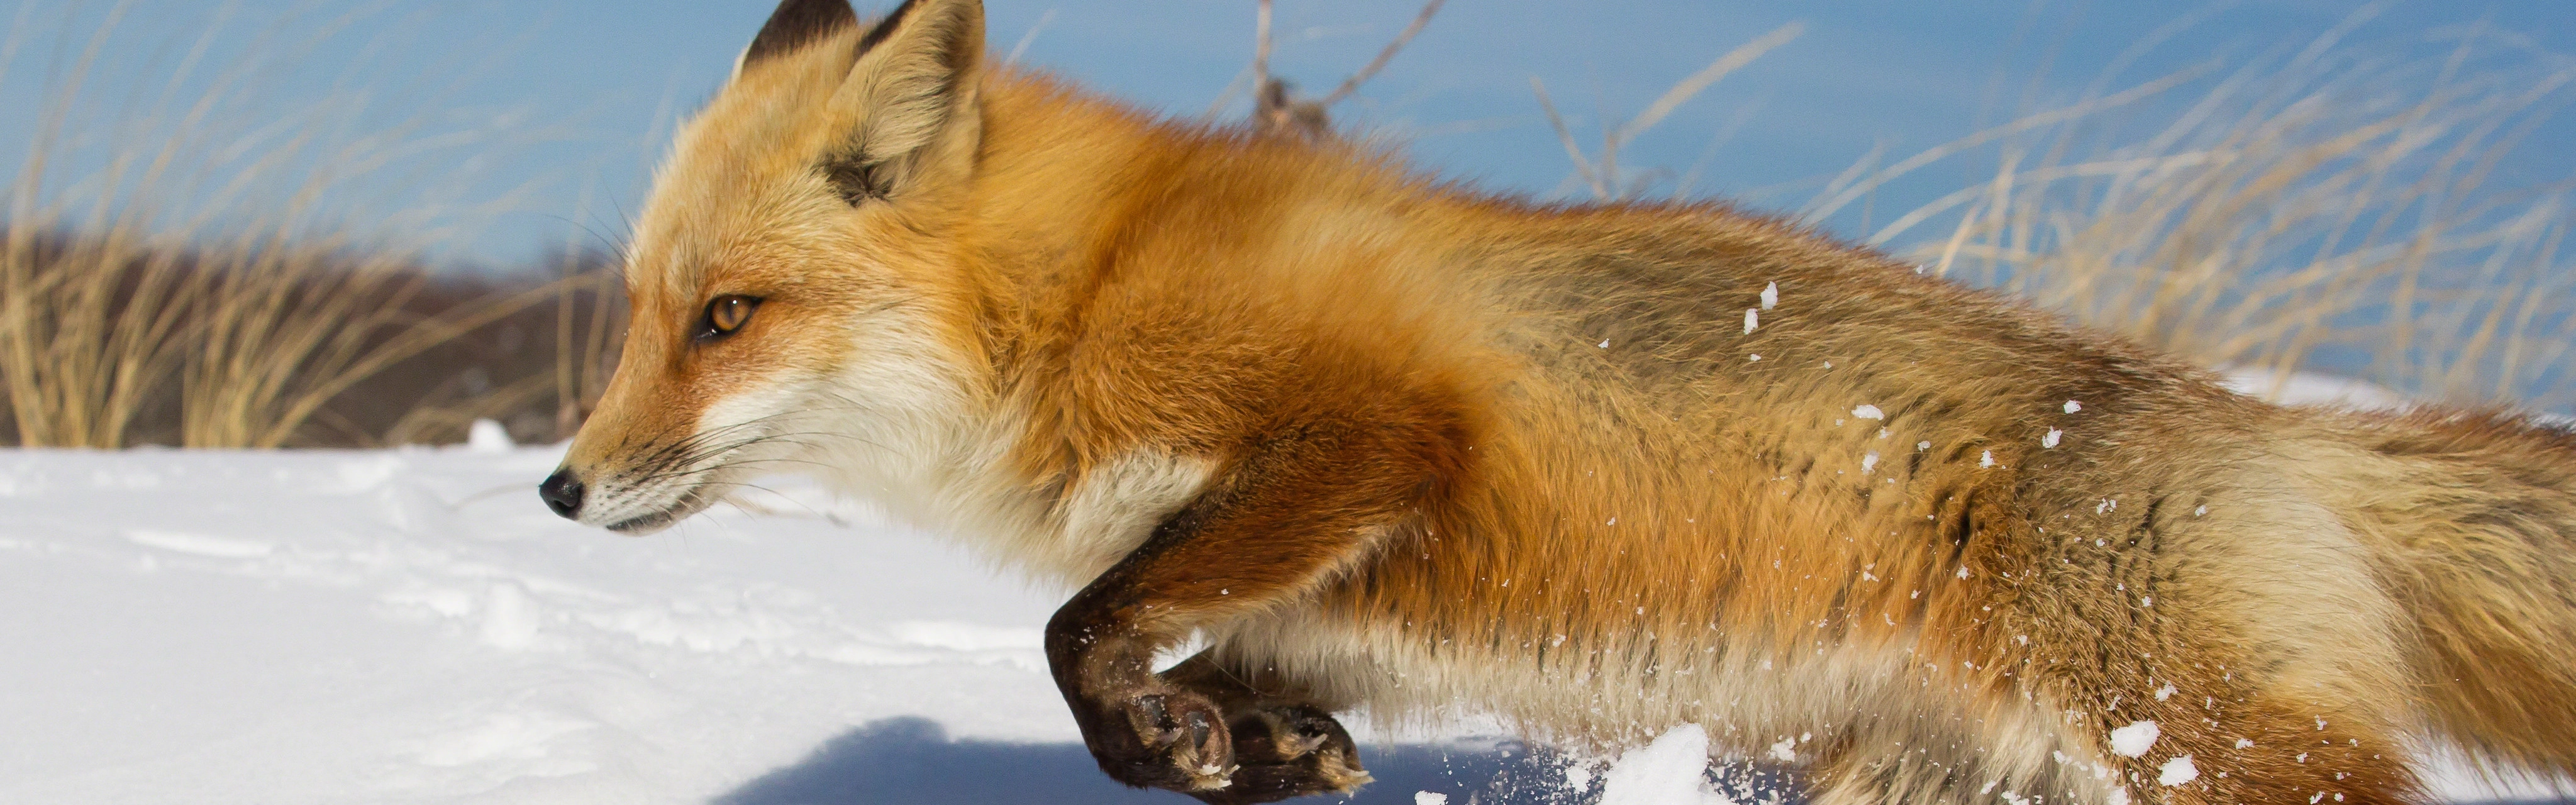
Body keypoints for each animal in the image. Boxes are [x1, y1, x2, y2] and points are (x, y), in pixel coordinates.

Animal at [535, 1, 2576, 803]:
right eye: (641, 315)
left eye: (725, 316)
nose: (556, 489)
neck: (1089, 293)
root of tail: (2262, 422)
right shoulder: (1328, 599)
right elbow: (1195, 654)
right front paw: (1258, 753)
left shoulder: (1360, 439)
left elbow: (1076, 628)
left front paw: (1176, 745)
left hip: (2201, 742)